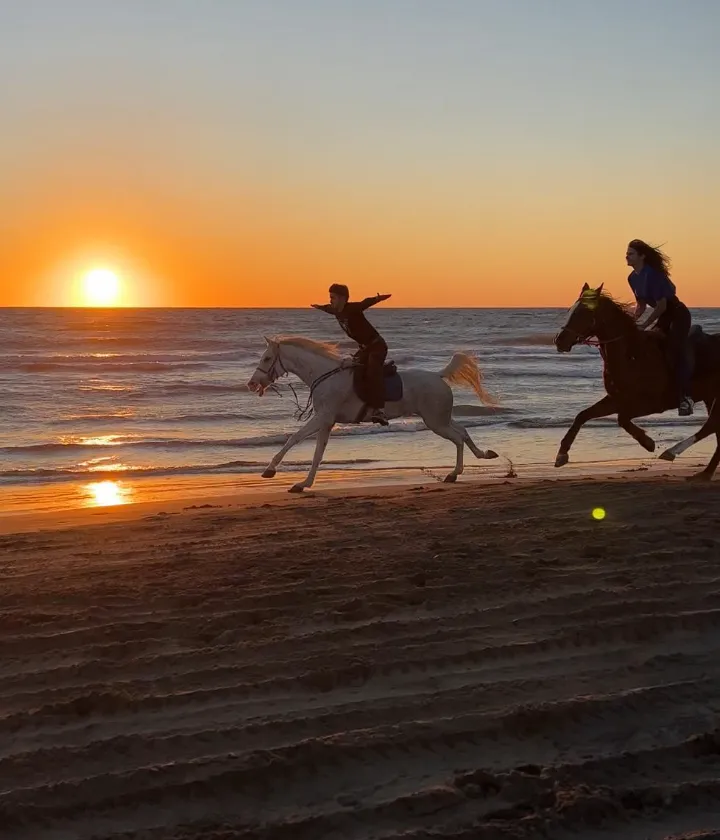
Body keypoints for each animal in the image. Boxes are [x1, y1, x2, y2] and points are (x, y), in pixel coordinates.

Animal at [247, 335, 499, 492]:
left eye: (267, 358)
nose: (251, 384)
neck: (325, 376)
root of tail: (438, 375)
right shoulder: (327, 423)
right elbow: (317, 453)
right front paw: (303, 483)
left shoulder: (323, 418)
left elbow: (294, 439)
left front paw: (271, 471)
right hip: (440, 418)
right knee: (463, 431)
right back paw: (484, 455)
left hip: (435, 422)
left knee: (458, 438)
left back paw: (454, 473)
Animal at [553, 283, 720, 481]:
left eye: (584, 312)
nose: (559, 340)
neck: (632, 355)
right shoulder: (616, 399)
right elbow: (582, 415)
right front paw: (561, 455)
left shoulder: (651, 404)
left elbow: (622, 419)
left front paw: (648, 442)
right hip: (710, 397)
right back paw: (704, 473)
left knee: (711, 425)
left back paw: (673, 453)